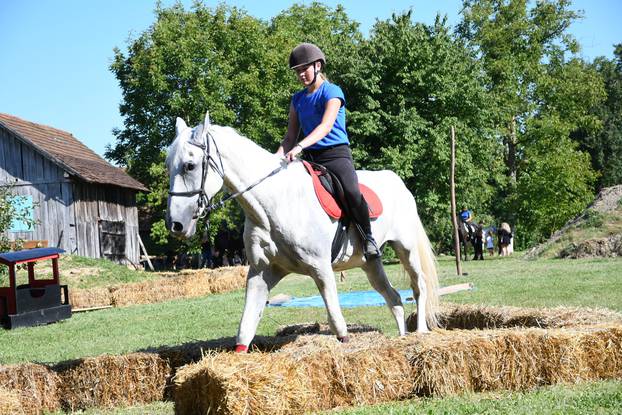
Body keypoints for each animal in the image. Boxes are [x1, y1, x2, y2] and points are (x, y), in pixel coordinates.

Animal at [165, 111, 438, 352]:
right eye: (168, 166)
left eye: (190, 166)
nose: (175, 225)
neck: (273, 204)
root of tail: (397, 181)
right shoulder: (262, 272)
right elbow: (245, 329)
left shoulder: (321, 268)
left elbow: (338, 325)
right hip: (369, 263)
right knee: (394, 298)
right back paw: (402, 340)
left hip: (406, 248)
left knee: (419, 287)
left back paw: (420, 333)